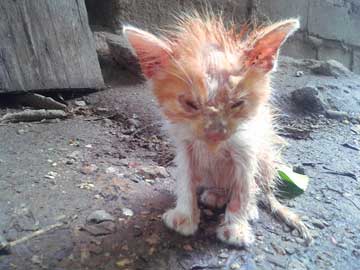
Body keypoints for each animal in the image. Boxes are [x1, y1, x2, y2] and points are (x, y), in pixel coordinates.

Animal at [124, 12, 312, 246]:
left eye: (237, 103)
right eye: (190, 104)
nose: (215, 133)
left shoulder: (246, 146)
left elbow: (243, 186)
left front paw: (237, 227)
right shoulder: (185, 145)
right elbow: (185, 178)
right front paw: (185, 216)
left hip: (266, 156)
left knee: (258, 186)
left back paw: (249, 206)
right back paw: (216, 194)